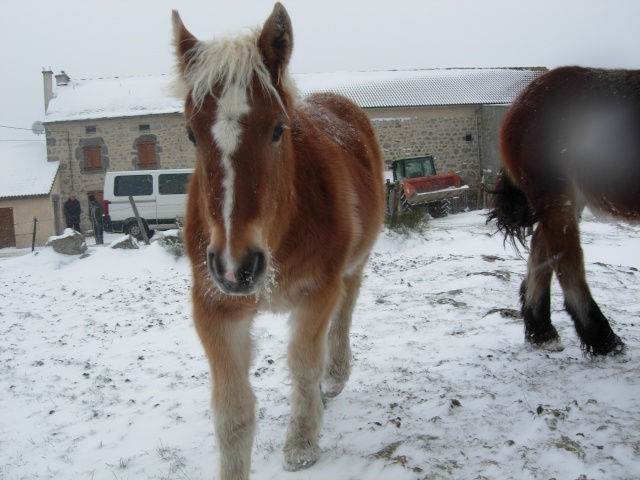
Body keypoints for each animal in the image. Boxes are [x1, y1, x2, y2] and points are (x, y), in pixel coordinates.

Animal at [171, 2, 384, 476]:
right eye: (191, 133)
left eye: (277, 129)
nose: (236, 267)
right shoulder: (214, 310)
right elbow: (232, 415)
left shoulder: (317, 292)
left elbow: (304, 368)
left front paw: (301, 445)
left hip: (353, 268)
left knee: (344, 313)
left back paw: (335, 375)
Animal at [488, 65, 636, 354]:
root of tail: (523, 99)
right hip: (557, 196)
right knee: (566, 260)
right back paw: (601, 339)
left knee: (541, 248)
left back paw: (540, 330)